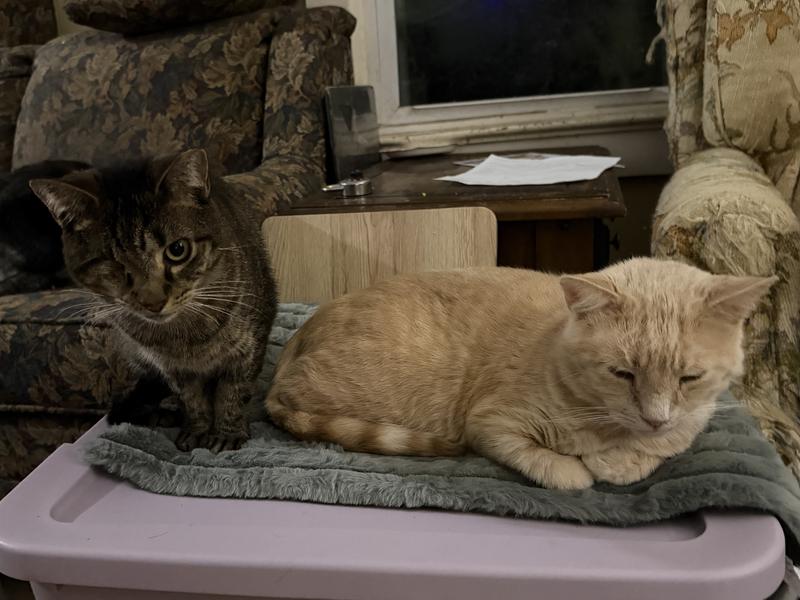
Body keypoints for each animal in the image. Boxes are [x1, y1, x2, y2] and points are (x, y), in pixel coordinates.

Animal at [30, 149, 277, 452]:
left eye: (177, 250)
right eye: (112, 264)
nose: (153, 302)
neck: (186, 337)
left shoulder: (249, 347)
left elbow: (232, 393)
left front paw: (226, 432)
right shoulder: (172, 368)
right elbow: (192, 399)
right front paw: (197, 428)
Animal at [266, 258, 774, 490]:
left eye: (690, 378)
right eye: (622, 374)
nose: (655, 417)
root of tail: (299, 335)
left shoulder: (693, 418)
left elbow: (661, 447)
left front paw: (625, 457)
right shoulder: (489, 424)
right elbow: (559, 469)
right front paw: (580, 468)